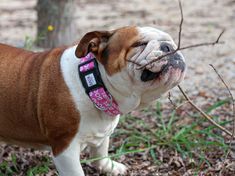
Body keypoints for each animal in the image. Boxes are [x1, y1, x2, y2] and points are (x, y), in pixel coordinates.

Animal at [0, 25, 186, 175]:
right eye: (139, 44)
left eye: (170, 41)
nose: (169, 46)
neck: (93, 84)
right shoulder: (65, 148)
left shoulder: (102, 133)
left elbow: (100, 153)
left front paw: (110, 167)